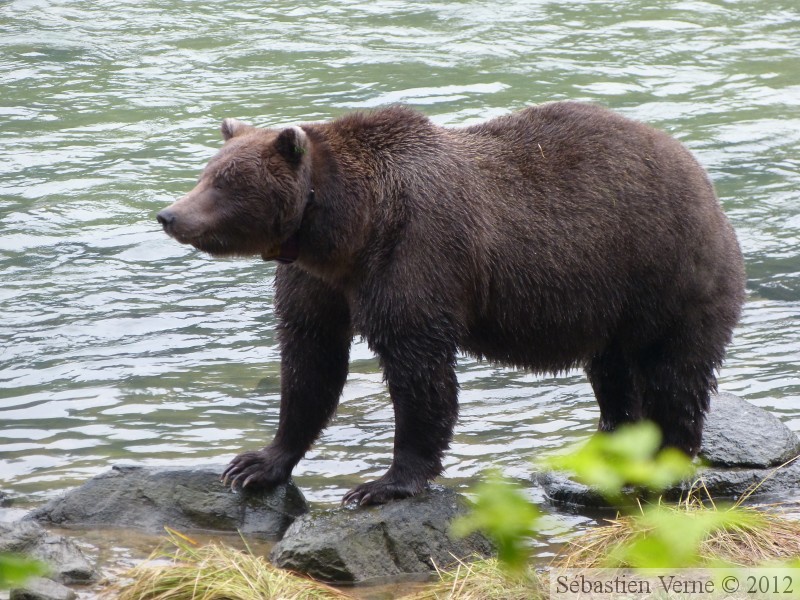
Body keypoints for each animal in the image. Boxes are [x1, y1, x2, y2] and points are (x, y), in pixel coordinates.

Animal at [156, 104, 744, 506]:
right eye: (206, 171)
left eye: (226, 181)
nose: (169, 214)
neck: (347, 231)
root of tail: (704, 180)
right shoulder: (315, 283)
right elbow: (310, 363)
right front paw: (255, 464)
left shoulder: (416, 253)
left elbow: (419, 372)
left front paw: (382, 484)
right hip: (613, 305)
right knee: (615, 375)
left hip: (668, 274)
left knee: (674, 375)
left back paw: (667, 462)